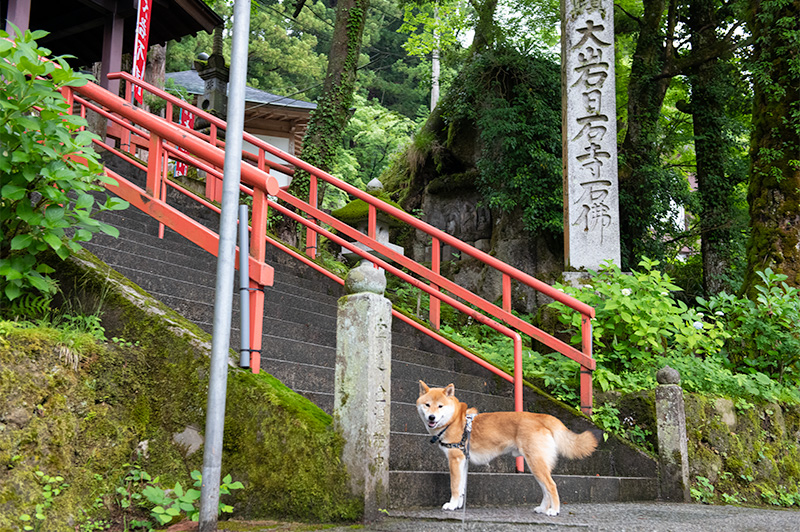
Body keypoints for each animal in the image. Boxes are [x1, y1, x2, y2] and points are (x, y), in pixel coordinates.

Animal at [418, 380, 600, 516]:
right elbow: (461, 487)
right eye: (427, 405)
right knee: (545, 489)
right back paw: (542, 508)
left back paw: (554, 510)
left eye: (440, 406)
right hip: (536, 466)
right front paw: (458, 505)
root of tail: (540, 417)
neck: (454, 420)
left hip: (535, 463)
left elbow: (455, 487)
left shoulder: (455, 459)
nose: (431, 417)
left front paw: (451, 505)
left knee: (552, 486)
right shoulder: (462, 461)